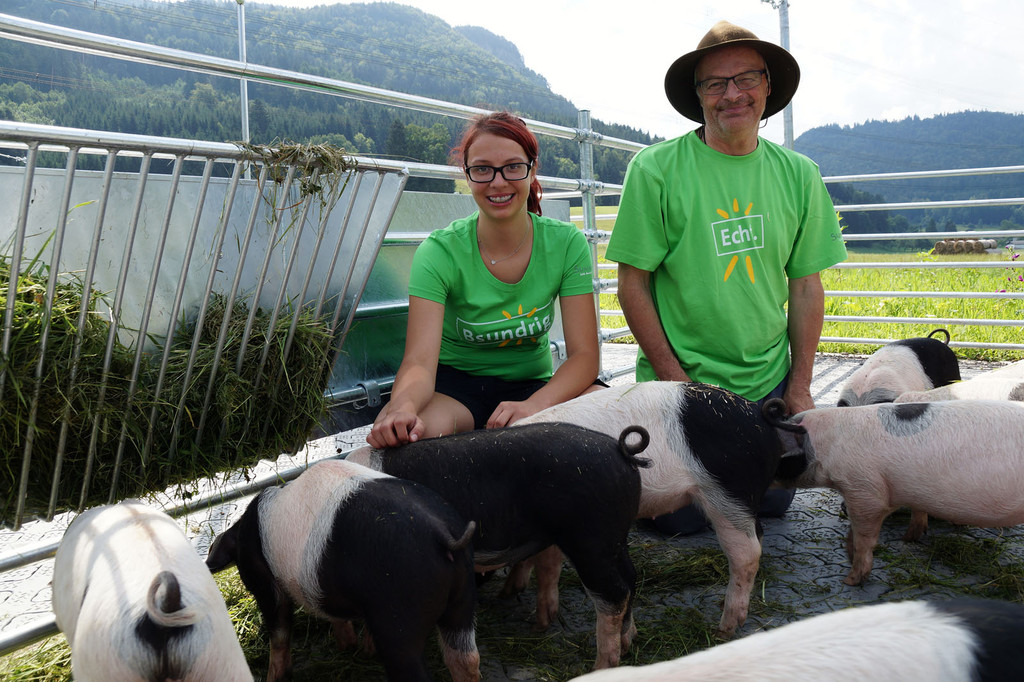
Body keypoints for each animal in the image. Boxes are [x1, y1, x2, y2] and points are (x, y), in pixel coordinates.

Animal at [205, 459, 479, 682]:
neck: (242, 534)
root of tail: (442, 534)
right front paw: (351, 647)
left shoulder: (263, 581)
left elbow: (280, 631)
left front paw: (276, 677)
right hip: (463, 595)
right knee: (466, 659)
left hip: (398, 615)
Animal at [347, 422, 650, 670]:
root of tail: (621, 449)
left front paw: (366, 651)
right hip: (615, 537)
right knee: (631, 578)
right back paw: (629, 641)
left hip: (589, 538)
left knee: (614, 594)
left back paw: (600, 667)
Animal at [513, 382, 795, 639]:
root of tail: (760, 415)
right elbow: (546, 563)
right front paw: (533, 614)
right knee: (757, 533)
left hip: (726, 492)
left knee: (746, 553)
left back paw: (723, 630)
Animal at [764, 398, 1024, 585]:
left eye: (777, 454)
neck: (823, 446)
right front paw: (908, 539)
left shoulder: (865, 490)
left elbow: (864, 537)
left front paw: (850, 580)